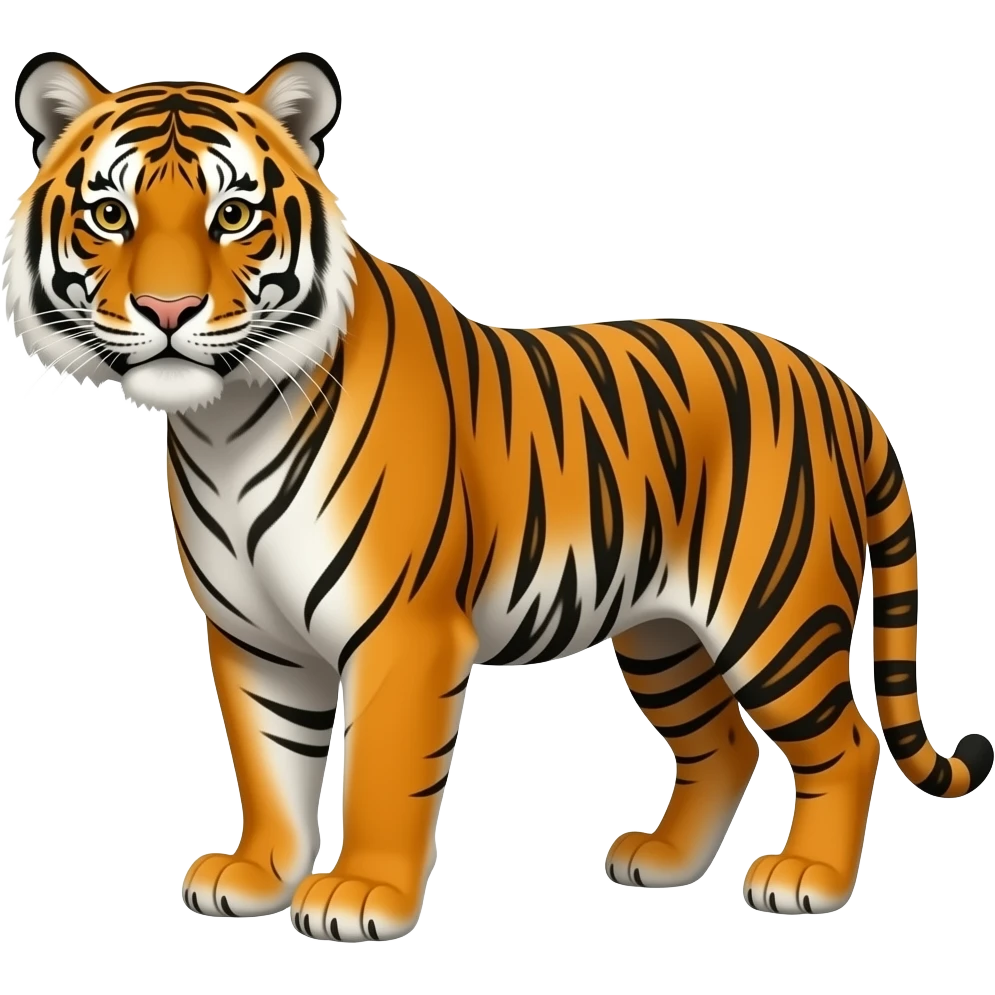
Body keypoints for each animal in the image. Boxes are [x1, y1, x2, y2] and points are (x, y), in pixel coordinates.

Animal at [4, 50, 991, 941]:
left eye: (234, 215)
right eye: (110, 214)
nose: (169, 312)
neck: (226, 423)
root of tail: (835, 384)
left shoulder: (401, 629)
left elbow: (381, 770)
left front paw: (361, 895)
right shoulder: (255, 636)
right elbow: (269, 760)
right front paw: (256, 876)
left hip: (772, 613)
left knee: (847, 742)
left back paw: (806, 878)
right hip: (662, 633)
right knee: (724, 744)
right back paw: (662, 860)